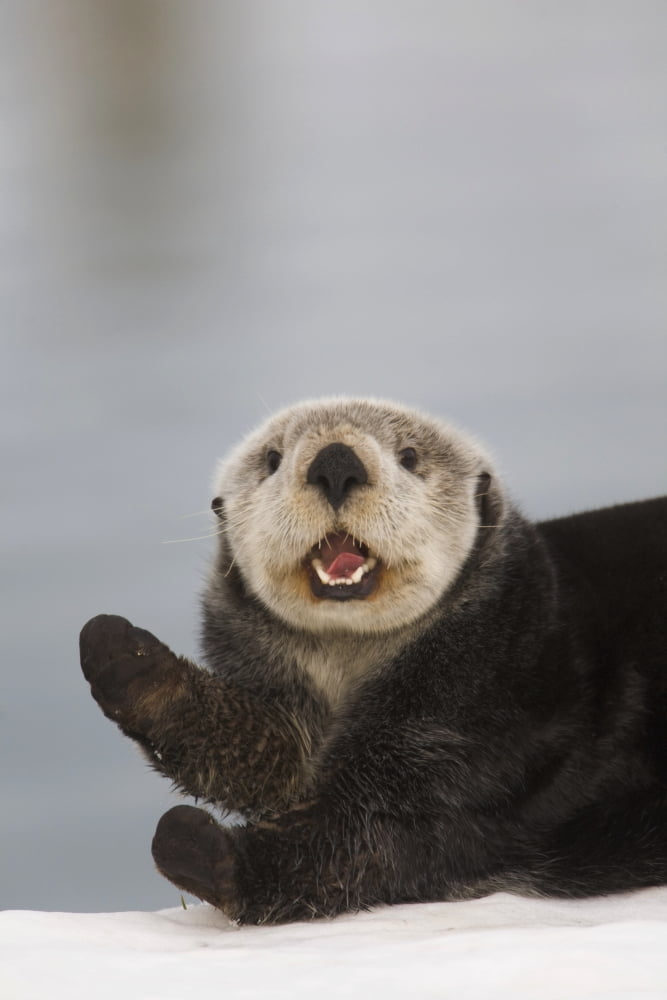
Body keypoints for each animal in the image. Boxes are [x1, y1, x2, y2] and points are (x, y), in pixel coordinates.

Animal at [79, 398, 667, 925]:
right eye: (272, 459)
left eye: (409, 456)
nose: (336, 462)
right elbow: (280, 764)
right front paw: (124, 657)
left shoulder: (477, 719)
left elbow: (369, 840)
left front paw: (202, 847)